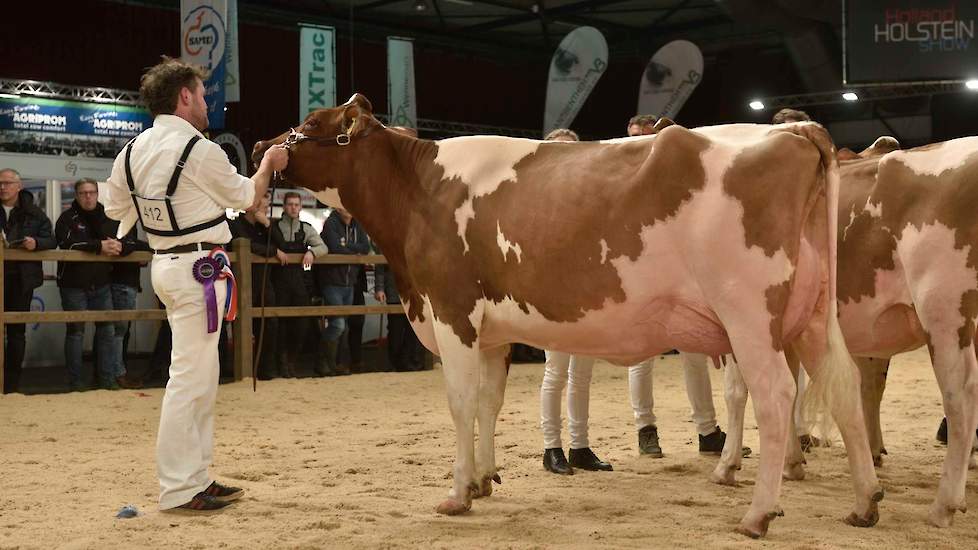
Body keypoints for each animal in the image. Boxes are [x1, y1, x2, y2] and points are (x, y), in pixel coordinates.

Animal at [255, 94, 880, 540]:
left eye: (311, 120)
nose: (263, 140)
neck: (419, 191)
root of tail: (795, 131)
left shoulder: (453, 314)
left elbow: (460, 404)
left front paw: (457, 493)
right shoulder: (492, 333)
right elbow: (489, 403)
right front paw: (484, 479)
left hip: (749, 314)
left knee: (775, 396)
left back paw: (757, 514)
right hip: (813, 316)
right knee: (844, 391)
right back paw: (865, 503)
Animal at [712, 136, 976, 528]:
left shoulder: (743, 318)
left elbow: (736, 391)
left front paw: (727, 465)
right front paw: (792, 463)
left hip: (945, 313)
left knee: (960, 397)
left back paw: (944, 504)